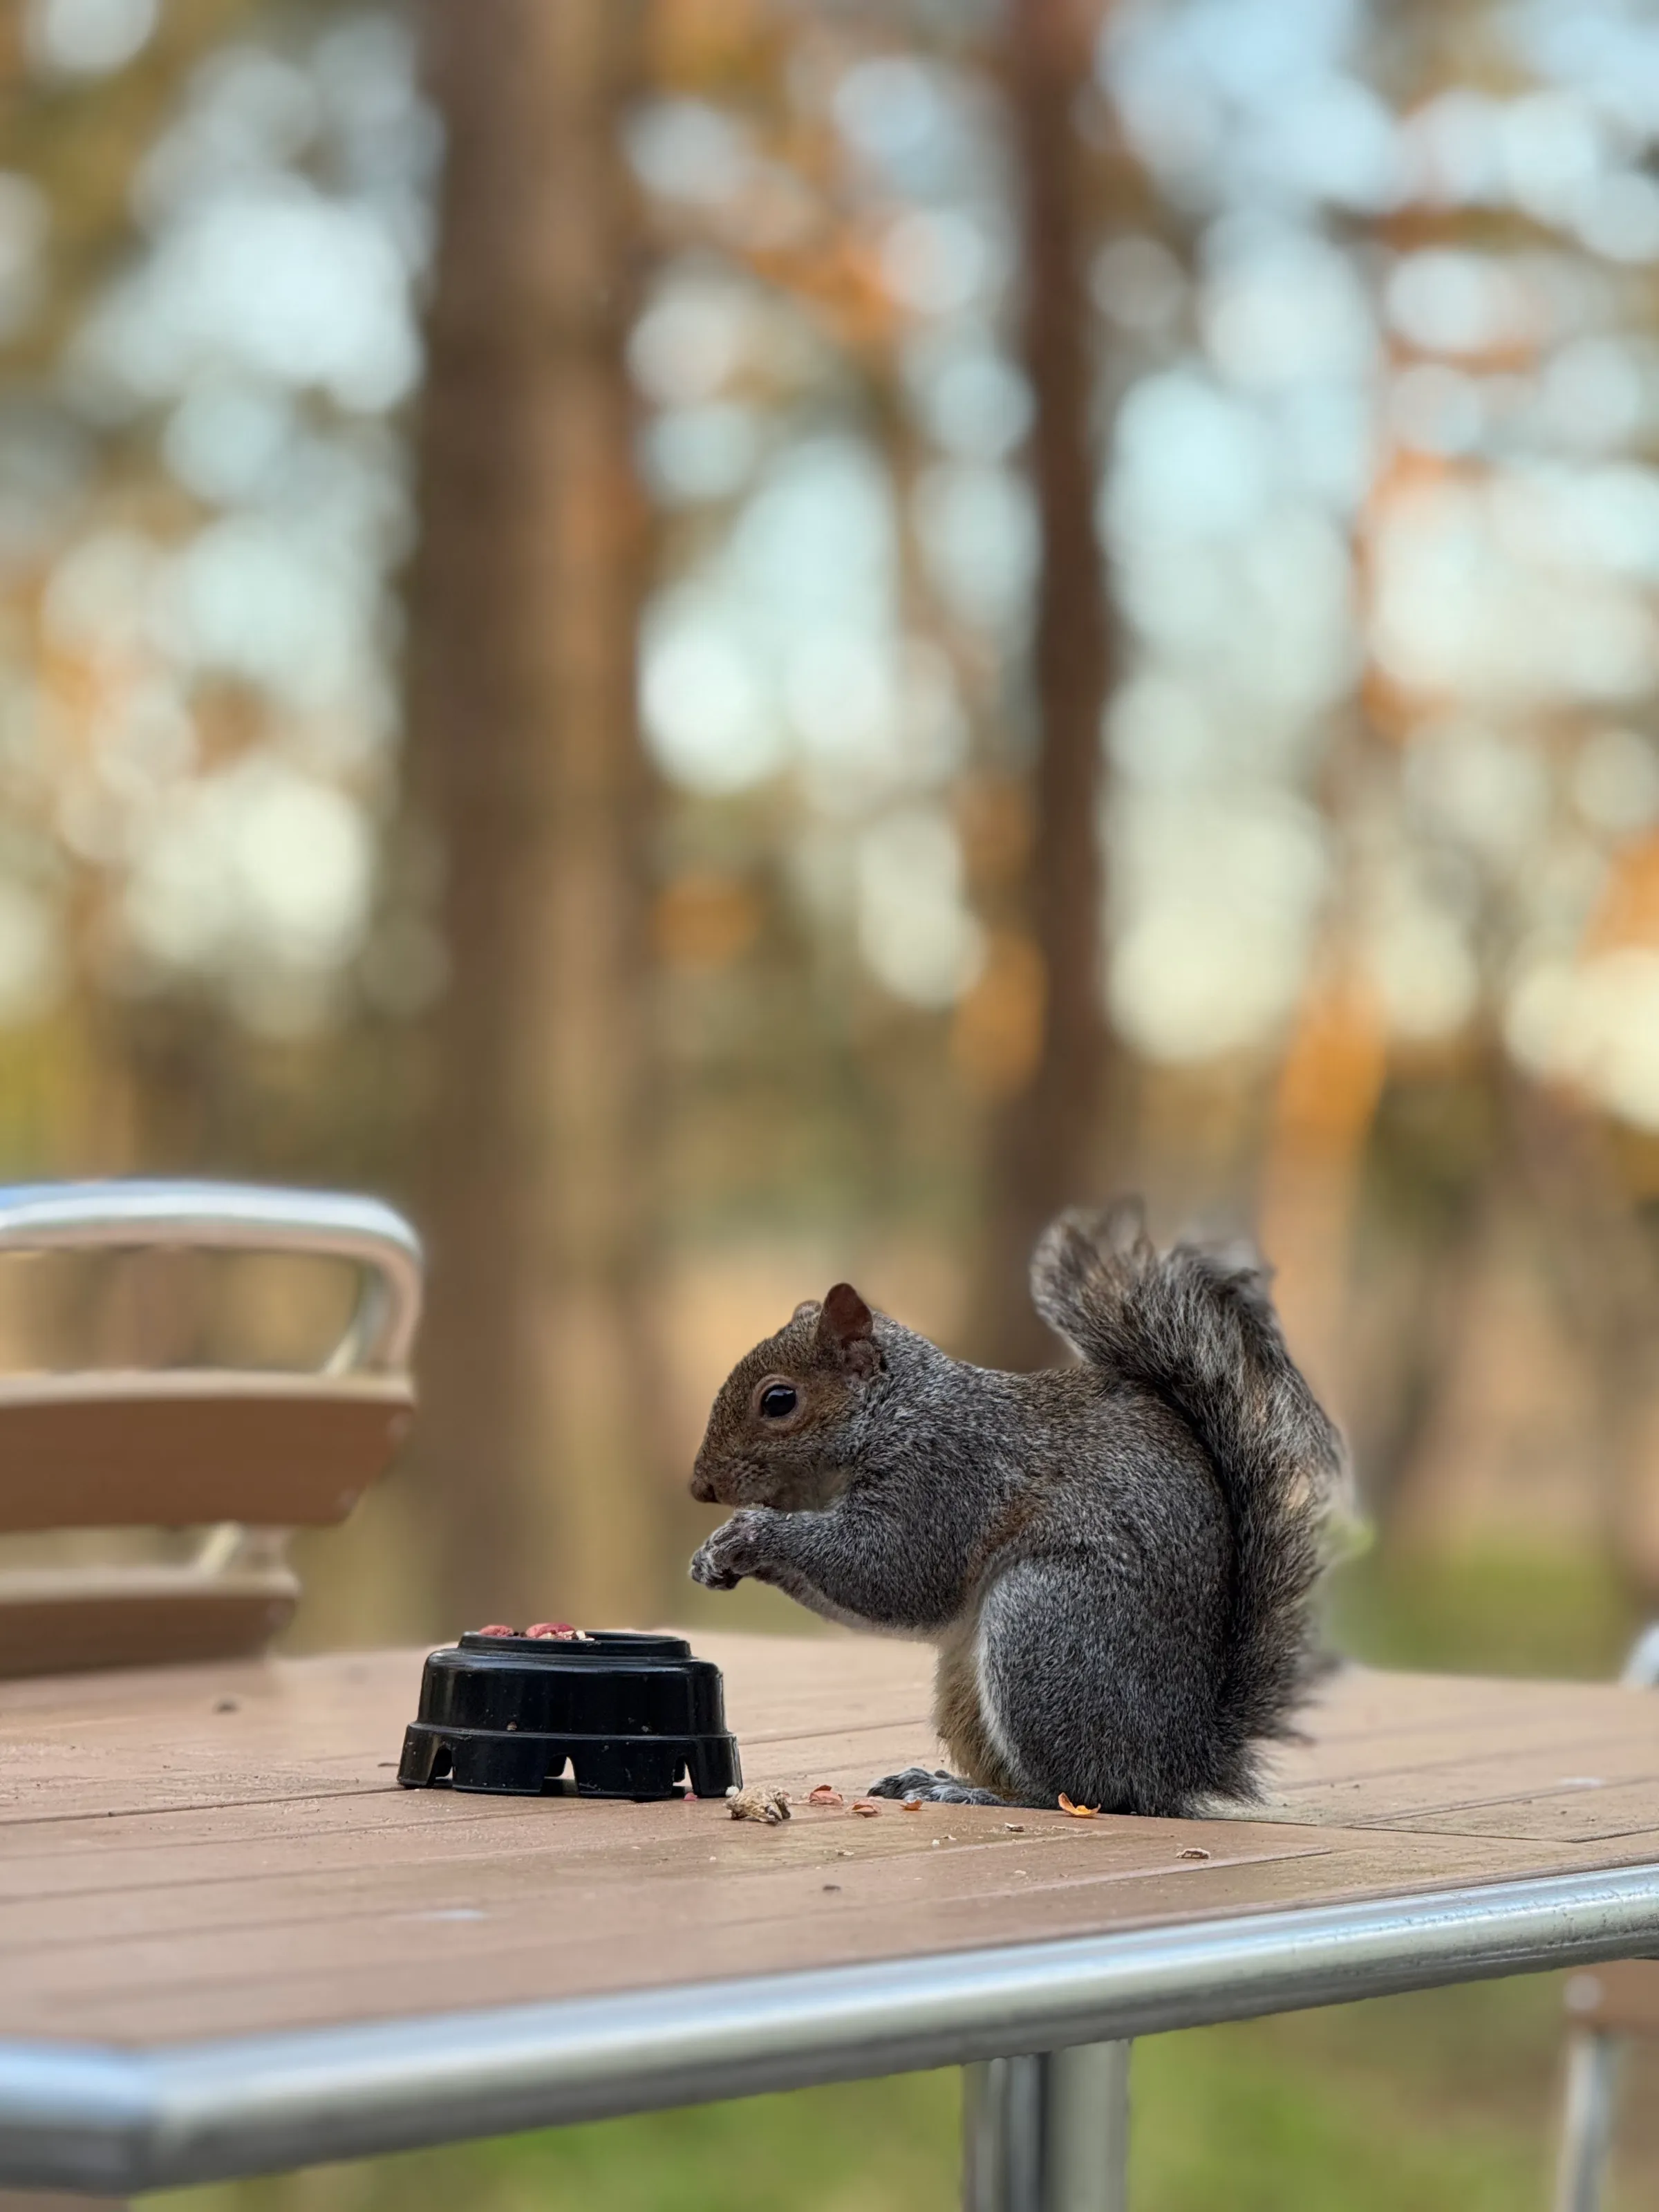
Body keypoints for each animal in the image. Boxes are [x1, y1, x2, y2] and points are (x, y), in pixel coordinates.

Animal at [689, 1201, 1342, 1815]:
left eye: (779, 1400)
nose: (701, 1487)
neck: (894, 1413)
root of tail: (1177, 1761)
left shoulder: (946, 1477)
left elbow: (895, 1573)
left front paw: (751, 1535)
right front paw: (710, 1557)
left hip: (1049, 1625)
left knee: (1080, 1792)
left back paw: (981, 1795)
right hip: (973, 1680)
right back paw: (941, 1779)